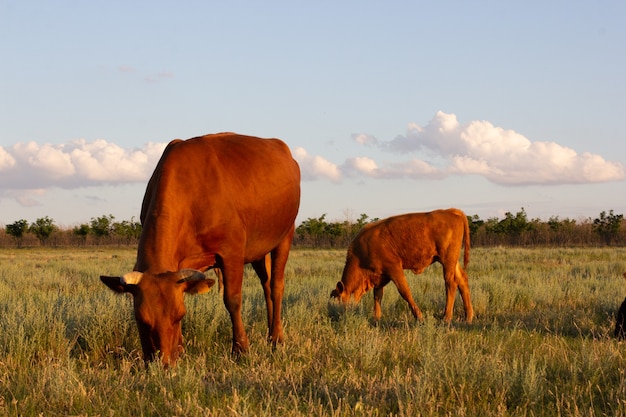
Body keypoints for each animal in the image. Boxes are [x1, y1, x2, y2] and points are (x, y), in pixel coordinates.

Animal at [100, 132, 300, 364]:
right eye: (141, 320)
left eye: (179, 316)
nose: (164, 363)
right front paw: (180, 349)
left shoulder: (232, 252)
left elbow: (233, 300)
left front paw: (240, 348)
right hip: (259, 248)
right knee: (266, 285)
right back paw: (270, 334)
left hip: (285, 235)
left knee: (276, 286)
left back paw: (277, 338)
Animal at [330, 208, 470, 322]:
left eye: (338, 301)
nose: (337, 316)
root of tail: (450, 211)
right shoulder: (379, 276)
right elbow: (377, 296)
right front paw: (377, 318)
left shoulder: (394, 268)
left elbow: (405, 292)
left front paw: (419, 317)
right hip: (451, 261)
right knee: (462, 280)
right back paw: (468, 317)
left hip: (447, 260)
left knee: (450, 283)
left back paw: (447, 317)